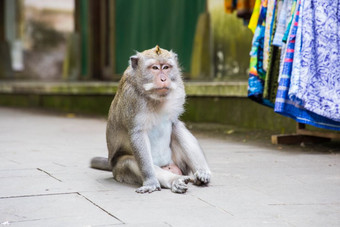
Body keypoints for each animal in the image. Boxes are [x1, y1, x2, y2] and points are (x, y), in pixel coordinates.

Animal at [91, 45, 211, 193]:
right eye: (154, 68)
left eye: (166, 67)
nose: (164, 79)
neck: (154, 97)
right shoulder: (132, 100)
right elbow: (138, 134)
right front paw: (151, 182)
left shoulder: (178, 89)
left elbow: (175, 123)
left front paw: (203, 172)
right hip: (120, 171)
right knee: (130, 161)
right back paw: (174, 180)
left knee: (177, 129)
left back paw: (200, 174)